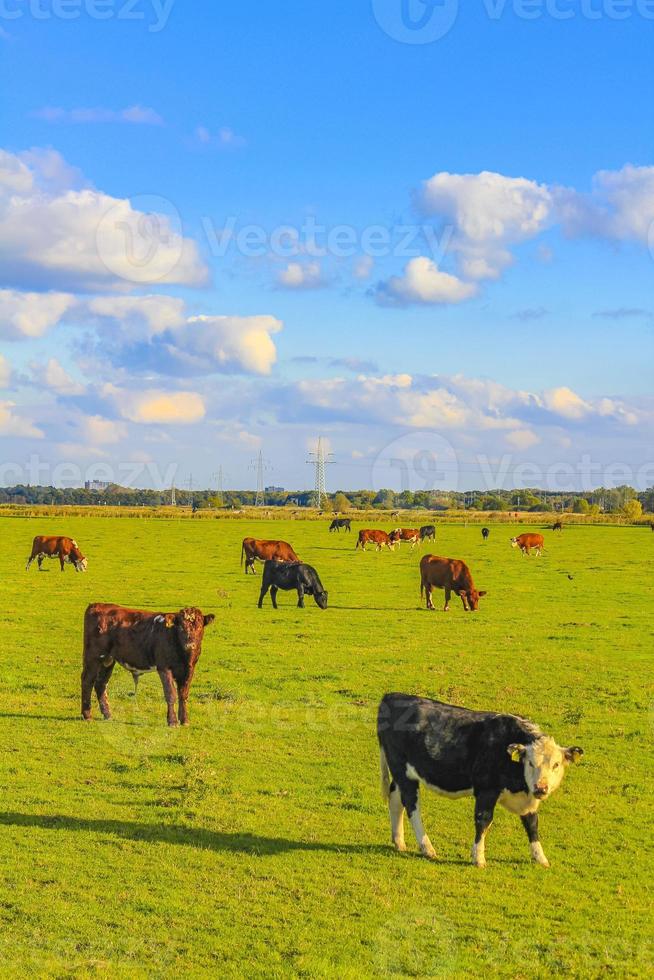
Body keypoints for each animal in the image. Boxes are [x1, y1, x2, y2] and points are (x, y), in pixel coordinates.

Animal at [81, 604, 215, 728]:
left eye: (199, 627)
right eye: (181, 627)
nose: (190, 645)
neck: (184, 657)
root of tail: (97, 605)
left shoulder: (189, 670)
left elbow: (183, 694)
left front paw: (185, 720)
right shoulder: (164, 667)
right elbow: (171, 694)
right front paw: (172, 721)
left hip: (108, 660)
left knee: (101, 684)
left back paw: (107, 714)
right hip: (93, 657)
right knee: (87, 681)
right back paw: (87, 715)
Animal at [376, 692, 588, 868]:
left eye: (556, 765)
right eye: (530, 763)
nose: (541, 788)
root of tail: (391, 696)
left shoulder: (528, 801)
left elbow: (532, 824)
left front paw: (540, 857)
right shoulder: (486, 790)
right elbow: (483, 820)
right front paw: (478, 857)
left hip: (402, 773)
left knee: (396, 799)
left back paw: (399, 841)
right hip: (402, 770)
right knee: (411, 804)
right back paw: (426, 847)